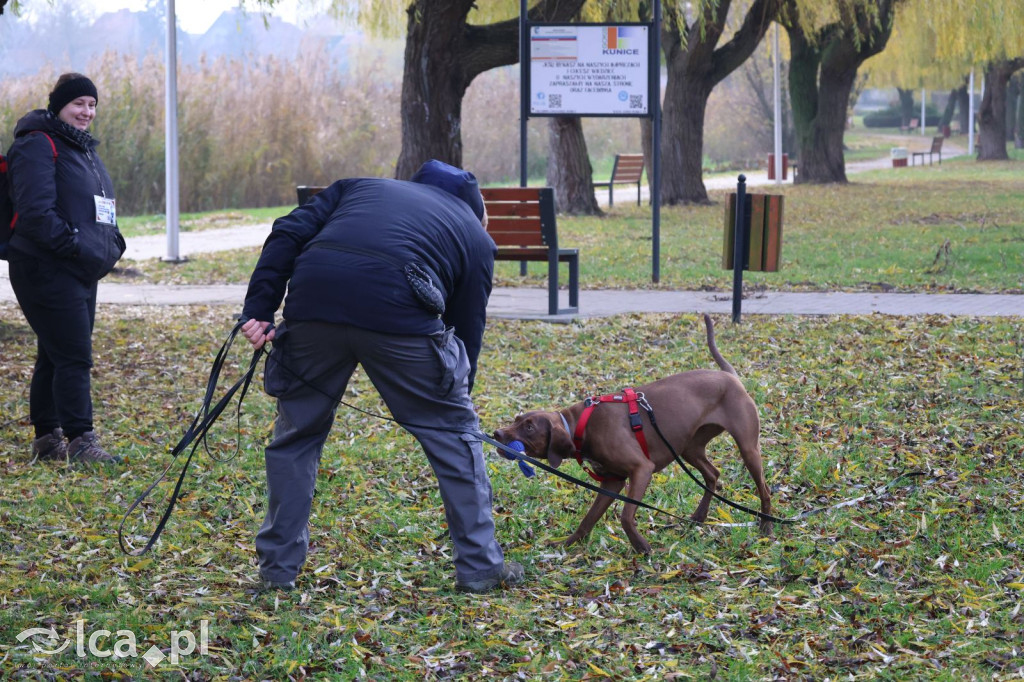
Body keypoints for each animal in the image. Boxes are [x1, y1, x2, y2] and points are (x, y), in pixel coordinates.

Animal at [491, 313, 770, 552]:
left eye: (529, 427)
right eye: (517, 419)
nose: (496, 434)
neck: (579, 426)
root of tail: (730, 376)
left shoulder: (641, 469)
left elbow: (626, 515)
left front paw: (641, 546)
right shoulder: (612, 481)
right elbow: (588, 519)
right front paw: (566, 544)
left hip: (747, 448)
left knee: (763, 489)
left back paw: (766, 528)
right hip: (689, 448)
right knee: (713, 474)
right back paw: (698, 518)